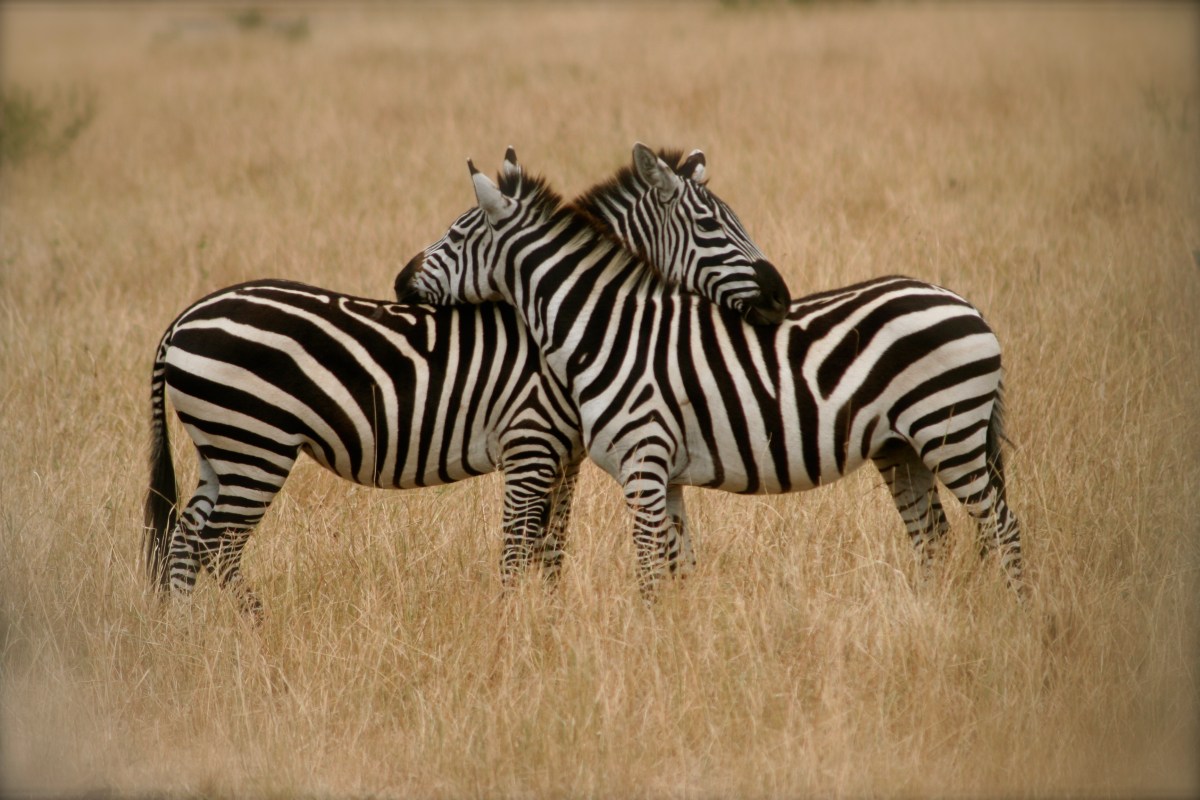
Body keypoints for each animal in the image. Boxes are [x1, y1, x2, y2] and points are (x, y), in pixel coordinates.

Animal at [393, 153, 1026, 599]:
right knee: (936, 540)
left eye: (455, 235)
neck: (604, 327)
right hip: (902, 448)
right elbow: (677, 571)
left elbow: (644, 575)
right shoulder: (664, 475)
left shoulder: (636, 464)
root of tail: (967, 306)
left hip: (951, 435)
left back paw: (1015, 624)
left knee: (1004, 529)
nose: (399, 282)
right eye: (712, 226)